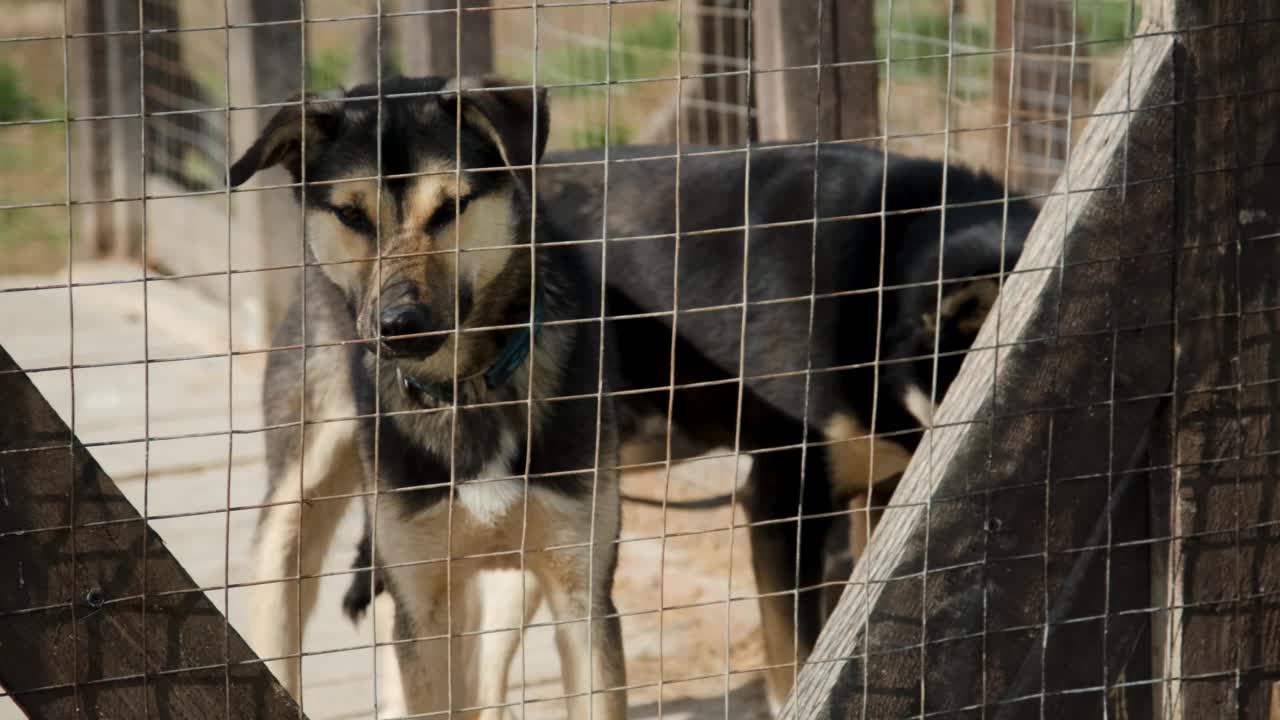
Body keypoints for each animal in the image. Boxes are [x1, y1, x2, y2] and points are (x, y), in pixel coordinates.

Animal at [236, 75, 629, 712]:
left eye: (450, 208)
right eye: (351, 214)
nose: (399, 325)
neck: (463, 387)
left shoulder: (582, 596)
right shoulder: (419, 605)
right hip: (297, 507)